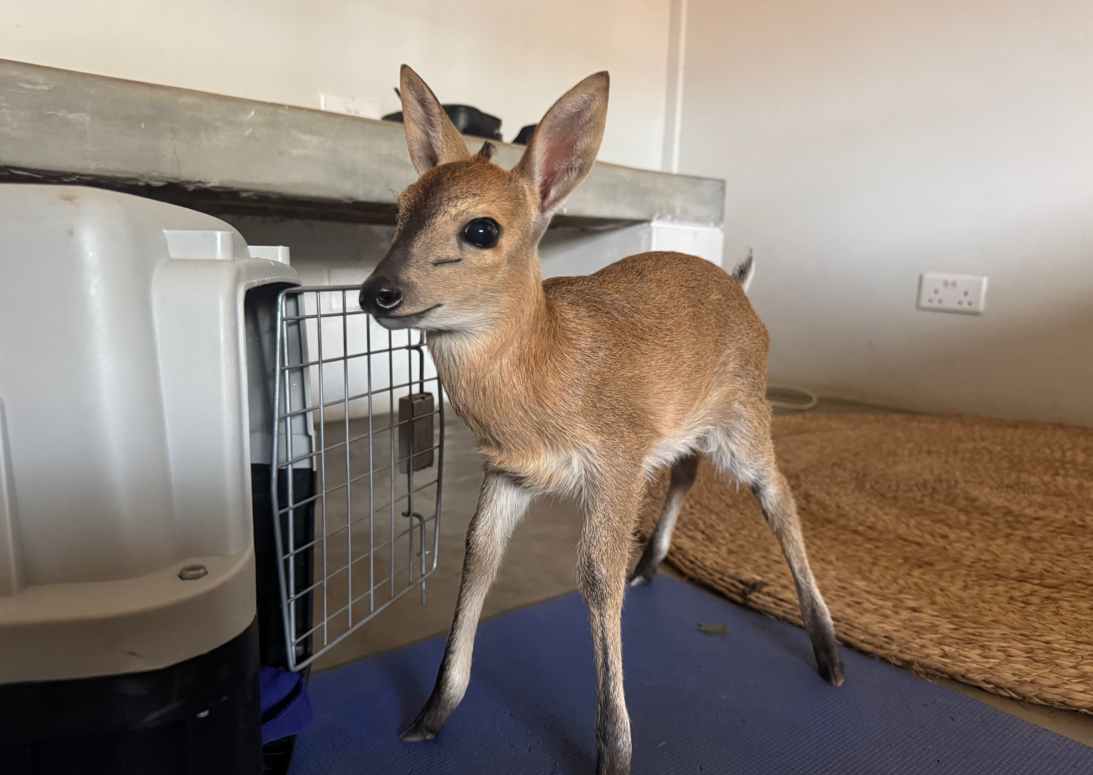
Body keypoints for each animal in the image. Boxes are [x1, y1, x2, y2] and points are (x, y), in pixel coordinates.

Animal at [359, 65, 844, 775]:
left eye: (482, 230)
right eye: (396, 209)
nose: (378, 292)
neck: (546, 376)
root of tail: (741, 286)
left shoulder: (615, 460)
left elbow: (593, 577)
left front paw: (613, 750)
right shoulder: (508, 473)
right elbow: (478, 557)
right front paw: (430, 714)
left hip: (745, 417)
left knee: (780, 498)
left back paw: (828, 655)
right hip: (687, 428)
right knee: (687, 472)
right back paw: (652, 564)